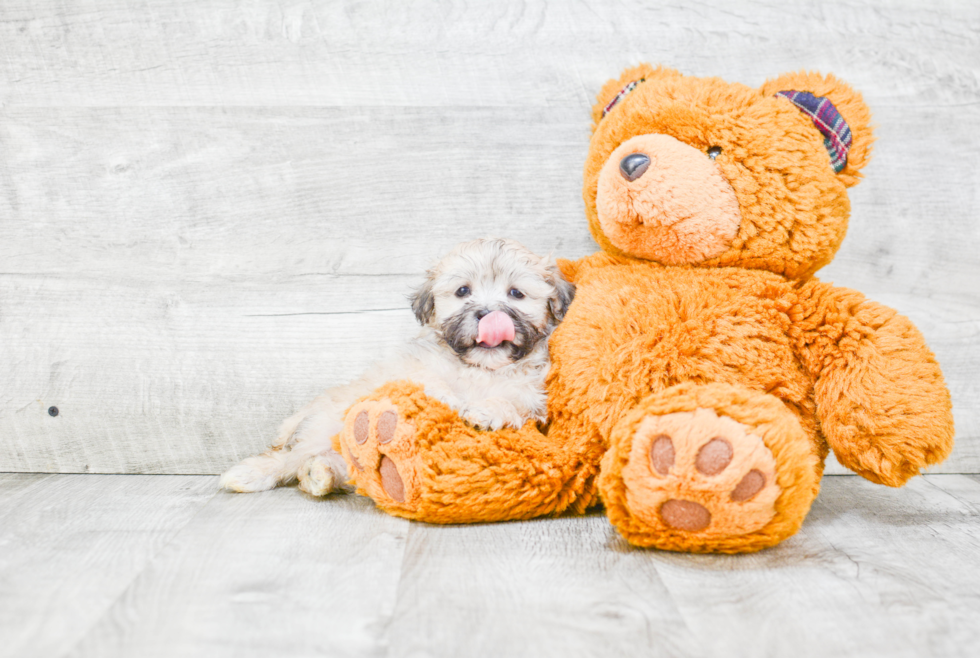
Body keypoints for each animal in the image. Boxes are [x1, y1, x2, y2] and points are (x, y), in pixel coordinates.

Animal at [220, 238, 576, 494]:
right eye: (463, 291)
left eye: (516, 293)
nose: (488, 315)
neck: (480, 368)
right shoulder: (410, 369)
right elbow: (431, 382)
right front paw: (451, 399)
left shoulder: (531, 394)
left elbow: (511, 401)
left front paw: (485, 412)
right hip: (327, 423)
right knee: (292, 457)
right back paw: (254, 473)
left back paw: (318, 475)